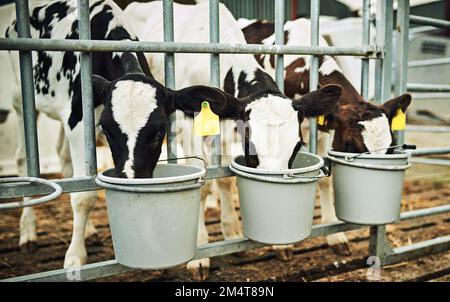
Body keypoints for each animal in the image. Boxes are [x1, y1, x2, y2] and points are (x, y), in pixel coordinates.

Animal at [241, 17, 414, 252]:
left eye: (389, 147)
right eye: (351, 144)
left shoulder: (322, 132)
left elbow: (325, 179)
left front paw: (335, 236)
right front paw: (281, 246)